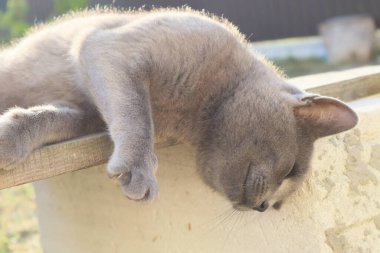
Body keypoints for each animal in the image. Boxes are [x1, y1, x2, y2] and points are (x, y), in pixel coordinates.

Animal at [0, 8, 356, 211]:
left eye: (279, 206)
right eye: (290, 169)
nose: (265, 208)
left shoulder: (87, 110)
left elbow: (55, 116)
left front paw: (11, 135)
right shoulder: (114, 50)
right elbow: (137, 114)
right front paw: (139, 169)